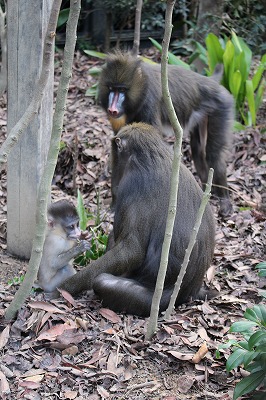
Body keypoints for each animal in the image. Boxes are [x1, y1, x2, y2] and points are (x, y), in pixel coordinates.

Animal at [60, 123, 216, 318]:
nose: (110, 168)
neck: (151, 157)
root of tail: (188, 292)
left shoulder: (131, 186)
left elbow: (131, 251)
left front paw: (65, 286)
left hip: (154, 301)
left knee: (103, 280)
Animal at [98, 52, 234, 219]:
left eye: (122, 90)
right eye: (112, 88)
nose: (112, 109)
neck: (142, 86)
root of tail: (211, 82)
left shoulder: (149, 105)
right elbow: (118, 153)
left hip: (221, 108)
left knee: (214, 154)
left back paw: (224, 201)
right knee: (198, 150)